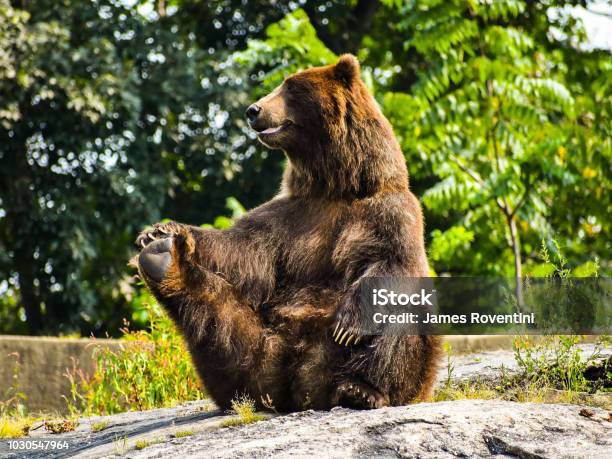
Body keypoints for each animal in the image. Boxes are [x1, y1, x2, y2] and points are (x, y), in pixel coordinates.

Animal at [135, 54, 440, 414]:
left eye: (291, 87)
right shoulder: (287, 220)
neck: (336, 184)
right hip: (258, 345)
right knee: (217, 319)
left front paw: (349, 326)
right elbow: (240, 250)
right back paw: (163, 262)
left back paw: (361, 390)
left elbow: (392, 263)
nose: (253, 110)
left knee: (399, 318)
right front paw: (159, 230)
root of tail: (302, 391)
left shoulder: (390, 213)